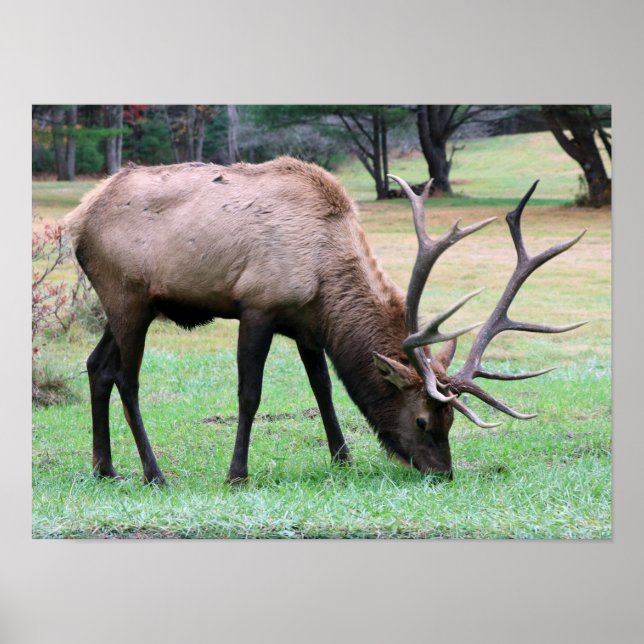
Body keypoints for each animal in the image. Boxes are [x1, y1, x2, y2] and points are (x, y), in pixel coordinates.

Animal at [64, 157, 586, 484]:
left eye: (452, 420)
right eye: (422, 421)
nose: (444, 472)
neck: (325, 275)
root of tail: (77, 220)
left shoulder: (308, 325)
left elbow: (324, 388)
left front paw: (343, 458)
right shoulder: (258, 305)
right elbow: (250, 394)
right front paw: (237, 473)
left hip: (127, 305)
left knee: (96, 366)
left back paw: (104, 467)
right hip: (128, 296)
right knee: (127, 378)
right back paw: (153, 474)